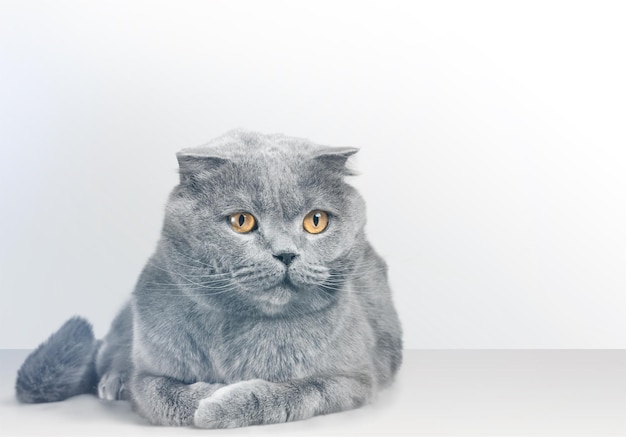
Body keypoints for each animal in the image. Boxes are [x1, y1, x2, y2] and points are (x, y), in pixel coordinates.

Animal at [17, 127, 404, 428]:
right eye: (242, 221)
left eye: (316, 221)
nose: (286, 254)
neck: (239, 331)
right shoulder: (147, 374)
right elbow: (160, 393)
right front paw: (207, 395)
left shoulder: (354, 380)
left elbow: (297, 391)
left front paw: (223, 404)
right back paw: (113, 380)